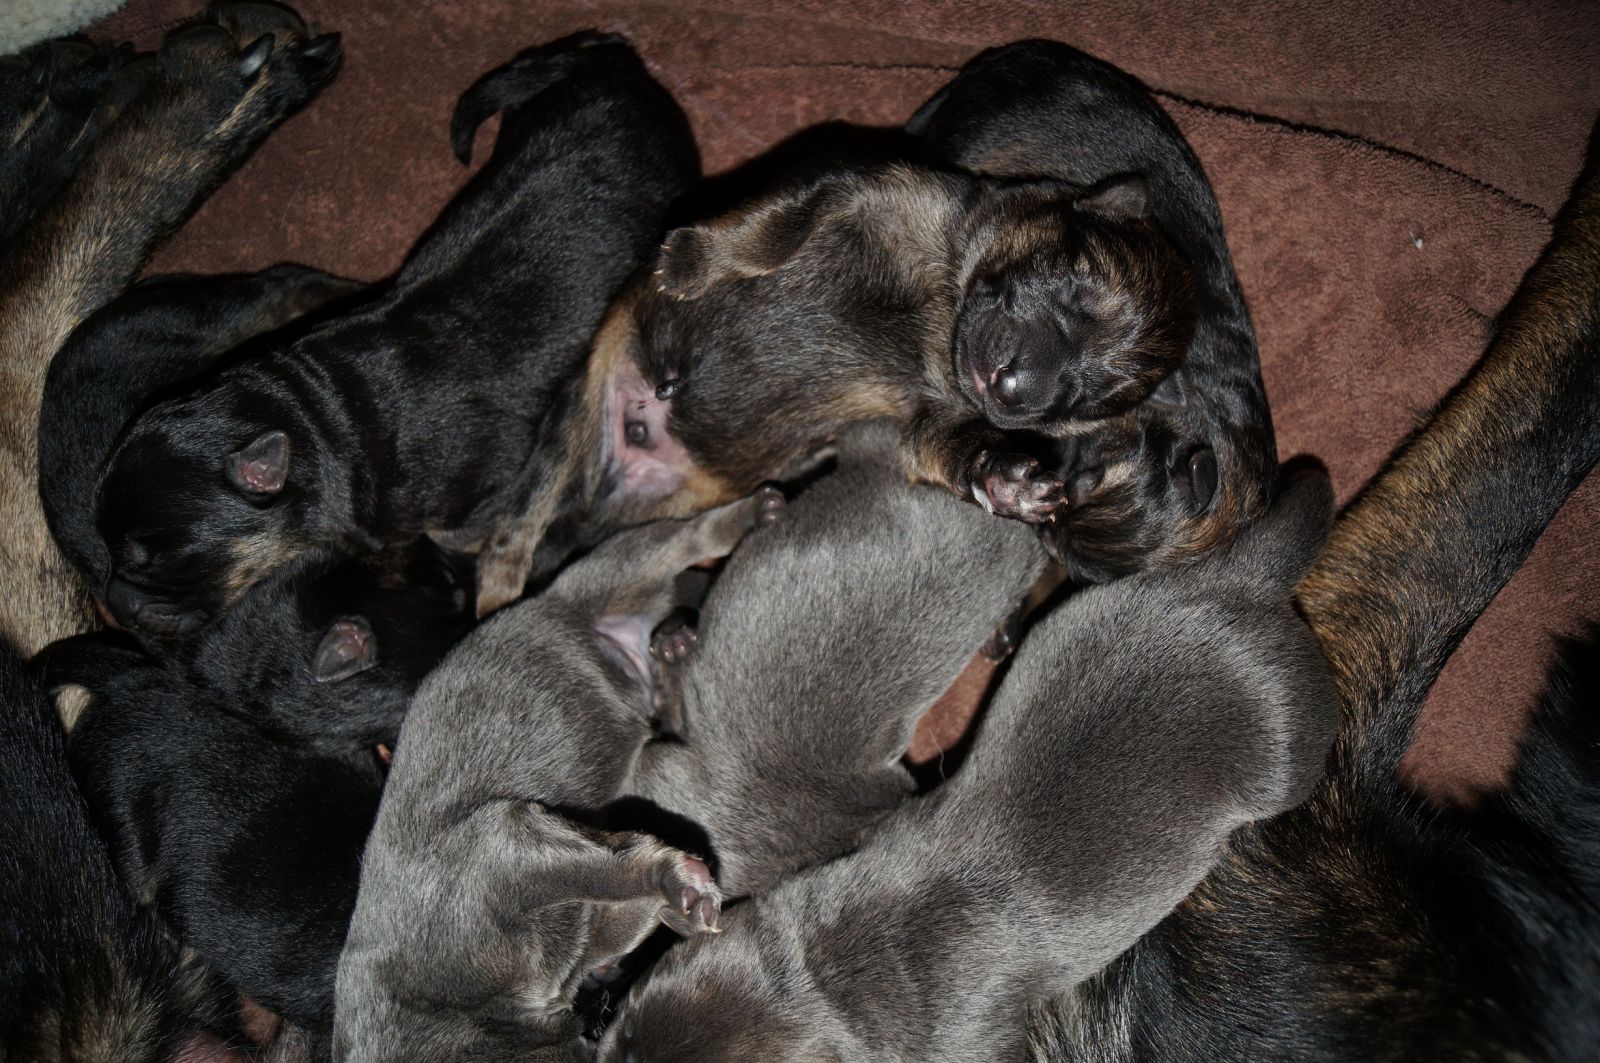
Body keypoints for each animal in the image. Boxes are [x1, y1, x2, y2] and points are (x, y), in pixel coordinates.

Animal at [332, 493, 774, 1063]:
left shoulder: (492, 852)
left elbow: (598, 869)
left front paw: (677, 885)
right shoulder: (577, 923)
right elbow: (606, 902)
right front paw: (674, 904)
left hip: (610, 572)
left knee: (681, 538)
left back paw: (755, 514)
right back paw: (673, 646)